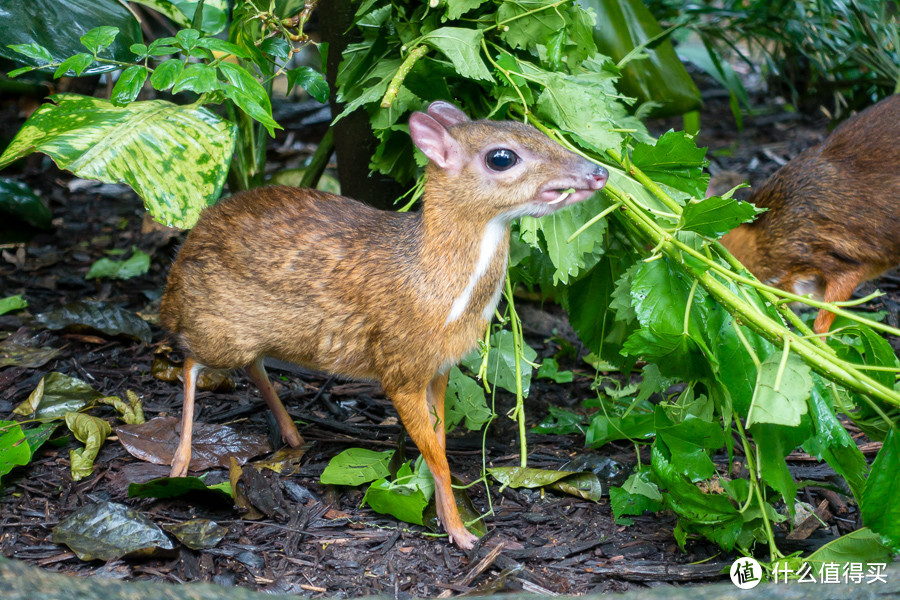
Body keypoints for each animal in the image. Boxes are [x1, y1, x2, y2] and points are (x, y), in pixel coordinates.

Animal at [158, 102, 608, 548]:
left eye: (532, 128)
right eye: (502, 157)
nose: (597, 171)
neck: (438, 289)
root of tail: (179, 263)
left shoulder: (439, 368)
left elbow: (439, 445)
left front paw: (445, 516)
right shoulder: (399, 367)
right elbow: (438, 457)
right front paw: (462, 534)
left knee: (254, 364)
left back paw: (293, 435)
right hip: (215, 328)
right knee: (190, 362)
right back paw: (179, 463)